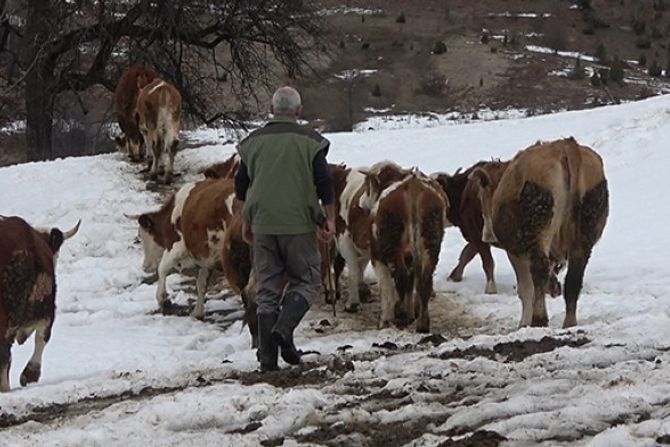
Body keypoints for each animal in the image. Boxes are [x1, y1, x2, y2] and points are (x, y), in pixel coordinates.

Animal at [362, 164, 452, 332]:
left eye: (368, 185)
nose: (362, 202)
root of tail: (413, 185)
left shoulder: (377, 257)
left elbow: (386, 287)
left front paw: (385, 320)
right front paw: (410, 313)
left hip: (392, 246)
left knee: (401, 276)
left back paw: (401, 314)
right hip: (430, 243)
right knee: (424, 280)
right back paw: (422, 323)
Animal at [470, 137, 612, 328]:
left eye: (482, 197)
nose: (487, 237)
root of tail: (566, 146)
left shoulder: (515, 252)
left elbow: (525, 288)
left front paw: (524, 322)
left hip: (537, 230)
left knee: (540, 271)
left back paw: (539, 319)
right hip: (585, 231)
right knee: (574, 279)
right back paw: (569, 323)